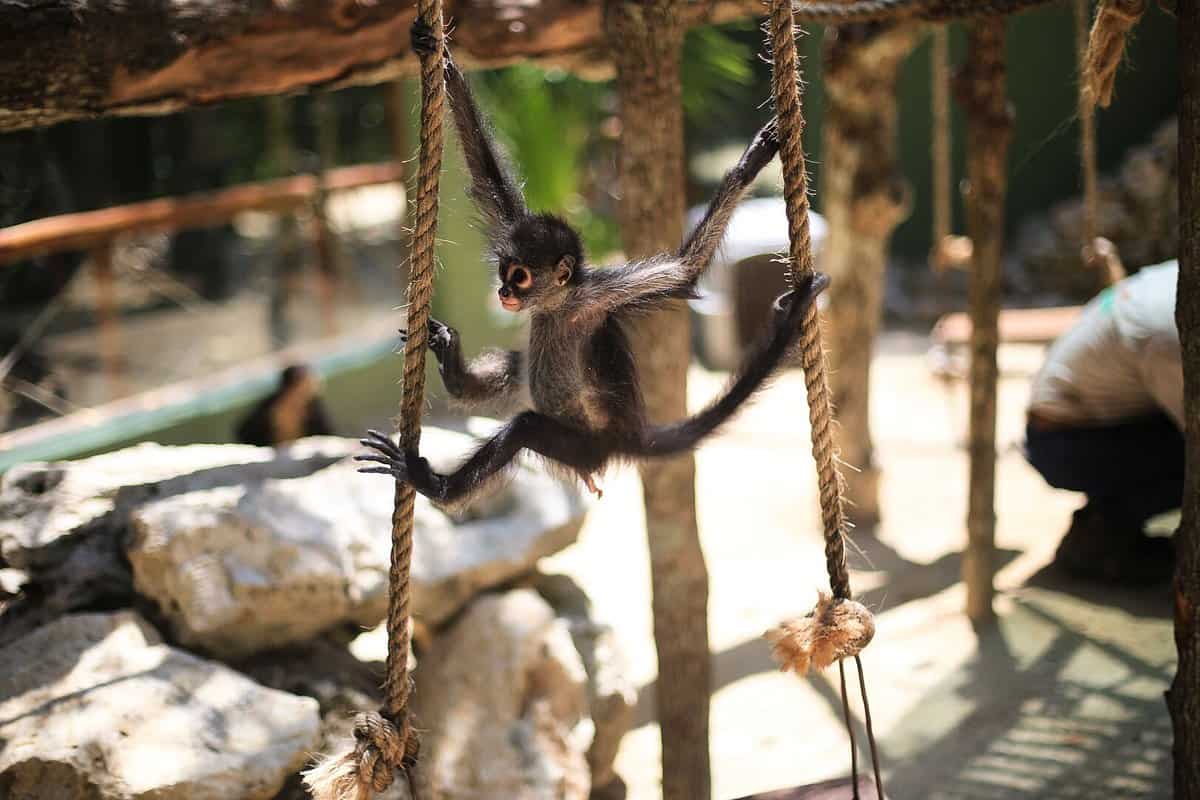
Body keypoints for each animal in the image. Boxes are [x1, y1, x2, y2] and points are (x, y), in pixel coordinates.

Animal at [355, 20, 829, 506]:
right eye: (505, 272)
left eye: (520, 277)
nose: (503, 292)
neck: (558, 306)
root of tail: (626, 439)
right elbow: (485, 177)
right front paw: (437, 53)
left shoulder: (599, 296)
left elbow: (686, 269)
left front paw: (750, 165)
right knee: (515, 365)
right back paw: (453, 372)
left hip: (583, 447)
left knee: (524, 426)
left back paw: (434, 484)